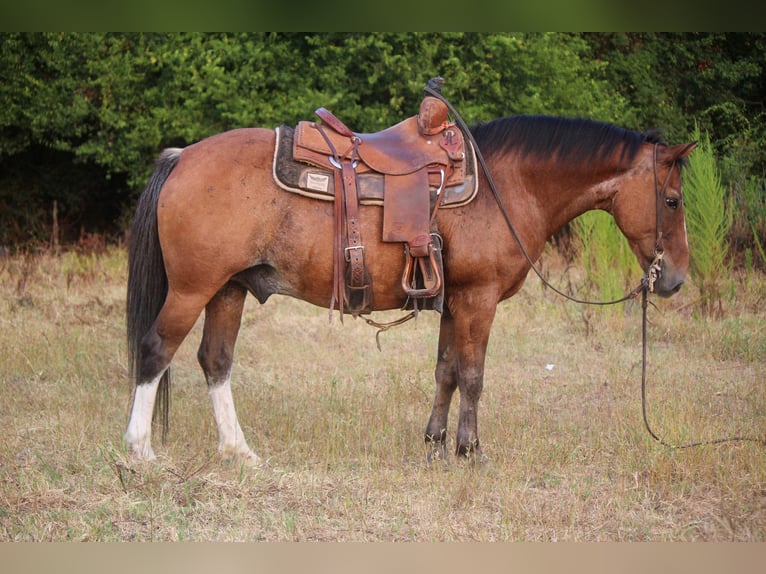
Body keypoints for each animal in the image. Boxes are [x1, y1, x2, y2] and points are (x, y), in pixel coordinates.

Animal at [123, 109, 700, 468]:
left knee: (216, 361)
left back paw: (239, 452)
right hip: (193, 289)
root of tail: (182, 157)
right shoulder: (478, 300)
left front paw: (435, 445)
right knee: (156, 350)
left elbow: (445, 371)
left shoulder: (453, 302)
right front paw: (471, 452)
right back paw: (140, 450)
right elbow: (472, 376)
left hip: (228, 289)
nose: (674, 279)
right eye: (672, 200)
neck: (507, 186)